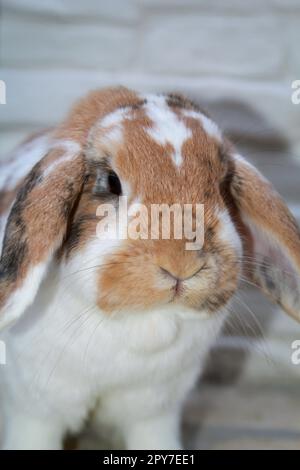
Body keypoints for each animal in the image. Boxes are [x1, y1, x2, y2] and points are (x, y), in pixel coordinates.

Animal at [0, 86, 298, 450]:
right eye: (111, 182)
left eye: (223, 185)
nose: (181, 263)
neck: (145, 323)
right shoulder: (35, 408)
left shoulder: (155, 411)